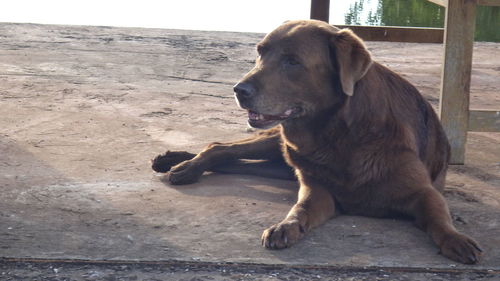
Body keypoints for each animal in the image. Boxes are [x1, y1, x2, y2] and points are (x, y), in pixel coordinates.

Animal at [150, 19, 482, 262]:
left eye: (292, 61)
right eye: (260, 52)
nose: (238, 90)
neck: (339, 135)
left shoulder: (424, 193)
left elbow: (439, 217)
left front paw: (456, 239)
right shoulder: (318, 190)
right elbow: (301, 209)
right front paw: (286, 226)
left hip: (279, 162)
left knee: (232, 159)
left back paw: (177, 162)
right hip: (279, 148)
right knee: (220, 148)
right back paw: (182, 166)